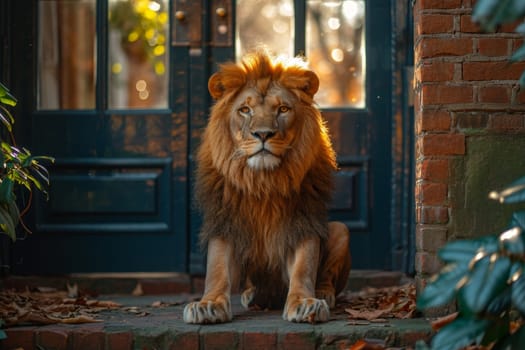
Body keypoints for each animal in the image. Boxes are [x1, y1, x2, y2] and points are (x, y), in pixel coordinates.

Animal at [182, 50, 350, 324]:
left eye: (283, 109)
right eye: (245, 110)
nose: (263, 134)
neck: (263, 182)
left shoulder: (303, 221)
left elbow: (304, 266)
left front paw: (305, 303)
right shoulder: (225, 222)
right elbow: (217, 269)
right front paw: (207, 304)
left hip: (340, 230)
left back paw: (324, 293)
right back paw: (251, 295)